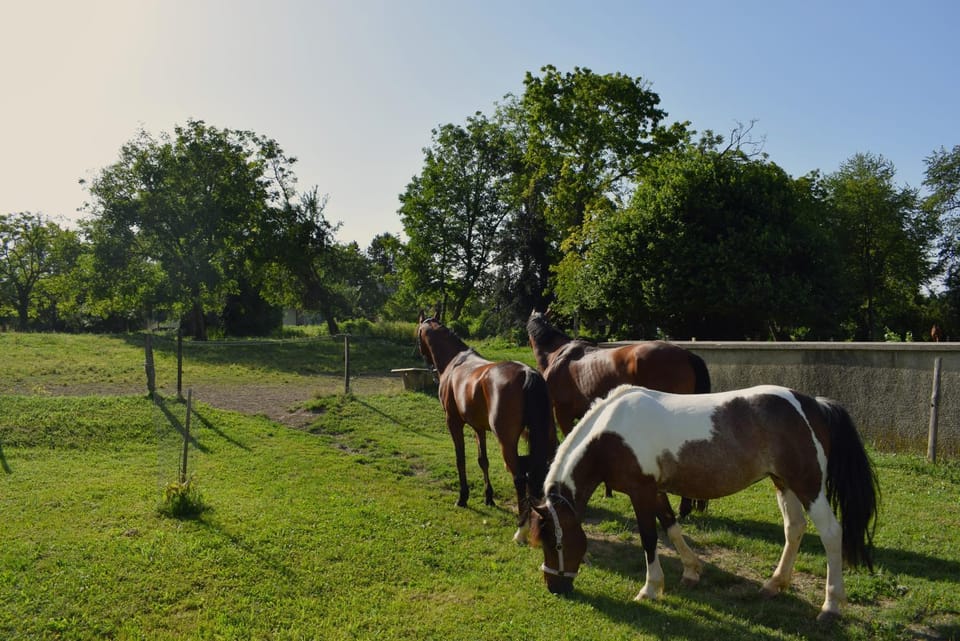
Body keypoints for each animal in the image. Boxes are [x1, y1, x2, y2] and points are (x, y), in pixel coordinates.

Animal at [416, 312, 557, 543]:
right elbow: (483, 461)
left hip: (506, 442)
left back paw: (521, 530)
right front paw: (488, 497)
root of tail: (528, 373)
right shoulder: (478, 427)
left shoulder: (453, 423)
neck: (456, 363)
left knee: (520, 478)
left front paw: (463, 498)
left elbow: (460, 459)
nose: (425, 359)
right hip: (548, 437)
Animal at [529, 384, 879, 622]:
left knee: (831, 533)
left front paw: (651, 588)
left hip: (809, 485)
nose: (554, 586)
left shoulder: (641, 492)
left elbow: (649, 538)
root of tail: (813, 405)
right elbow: (671, 527)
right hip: (784, 483)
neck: (611, 433)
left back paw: (831, 606)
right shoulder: (656, 491)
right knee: (794, 529)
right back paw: (773, 584)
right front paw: (692, 570)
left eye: (556, 544)